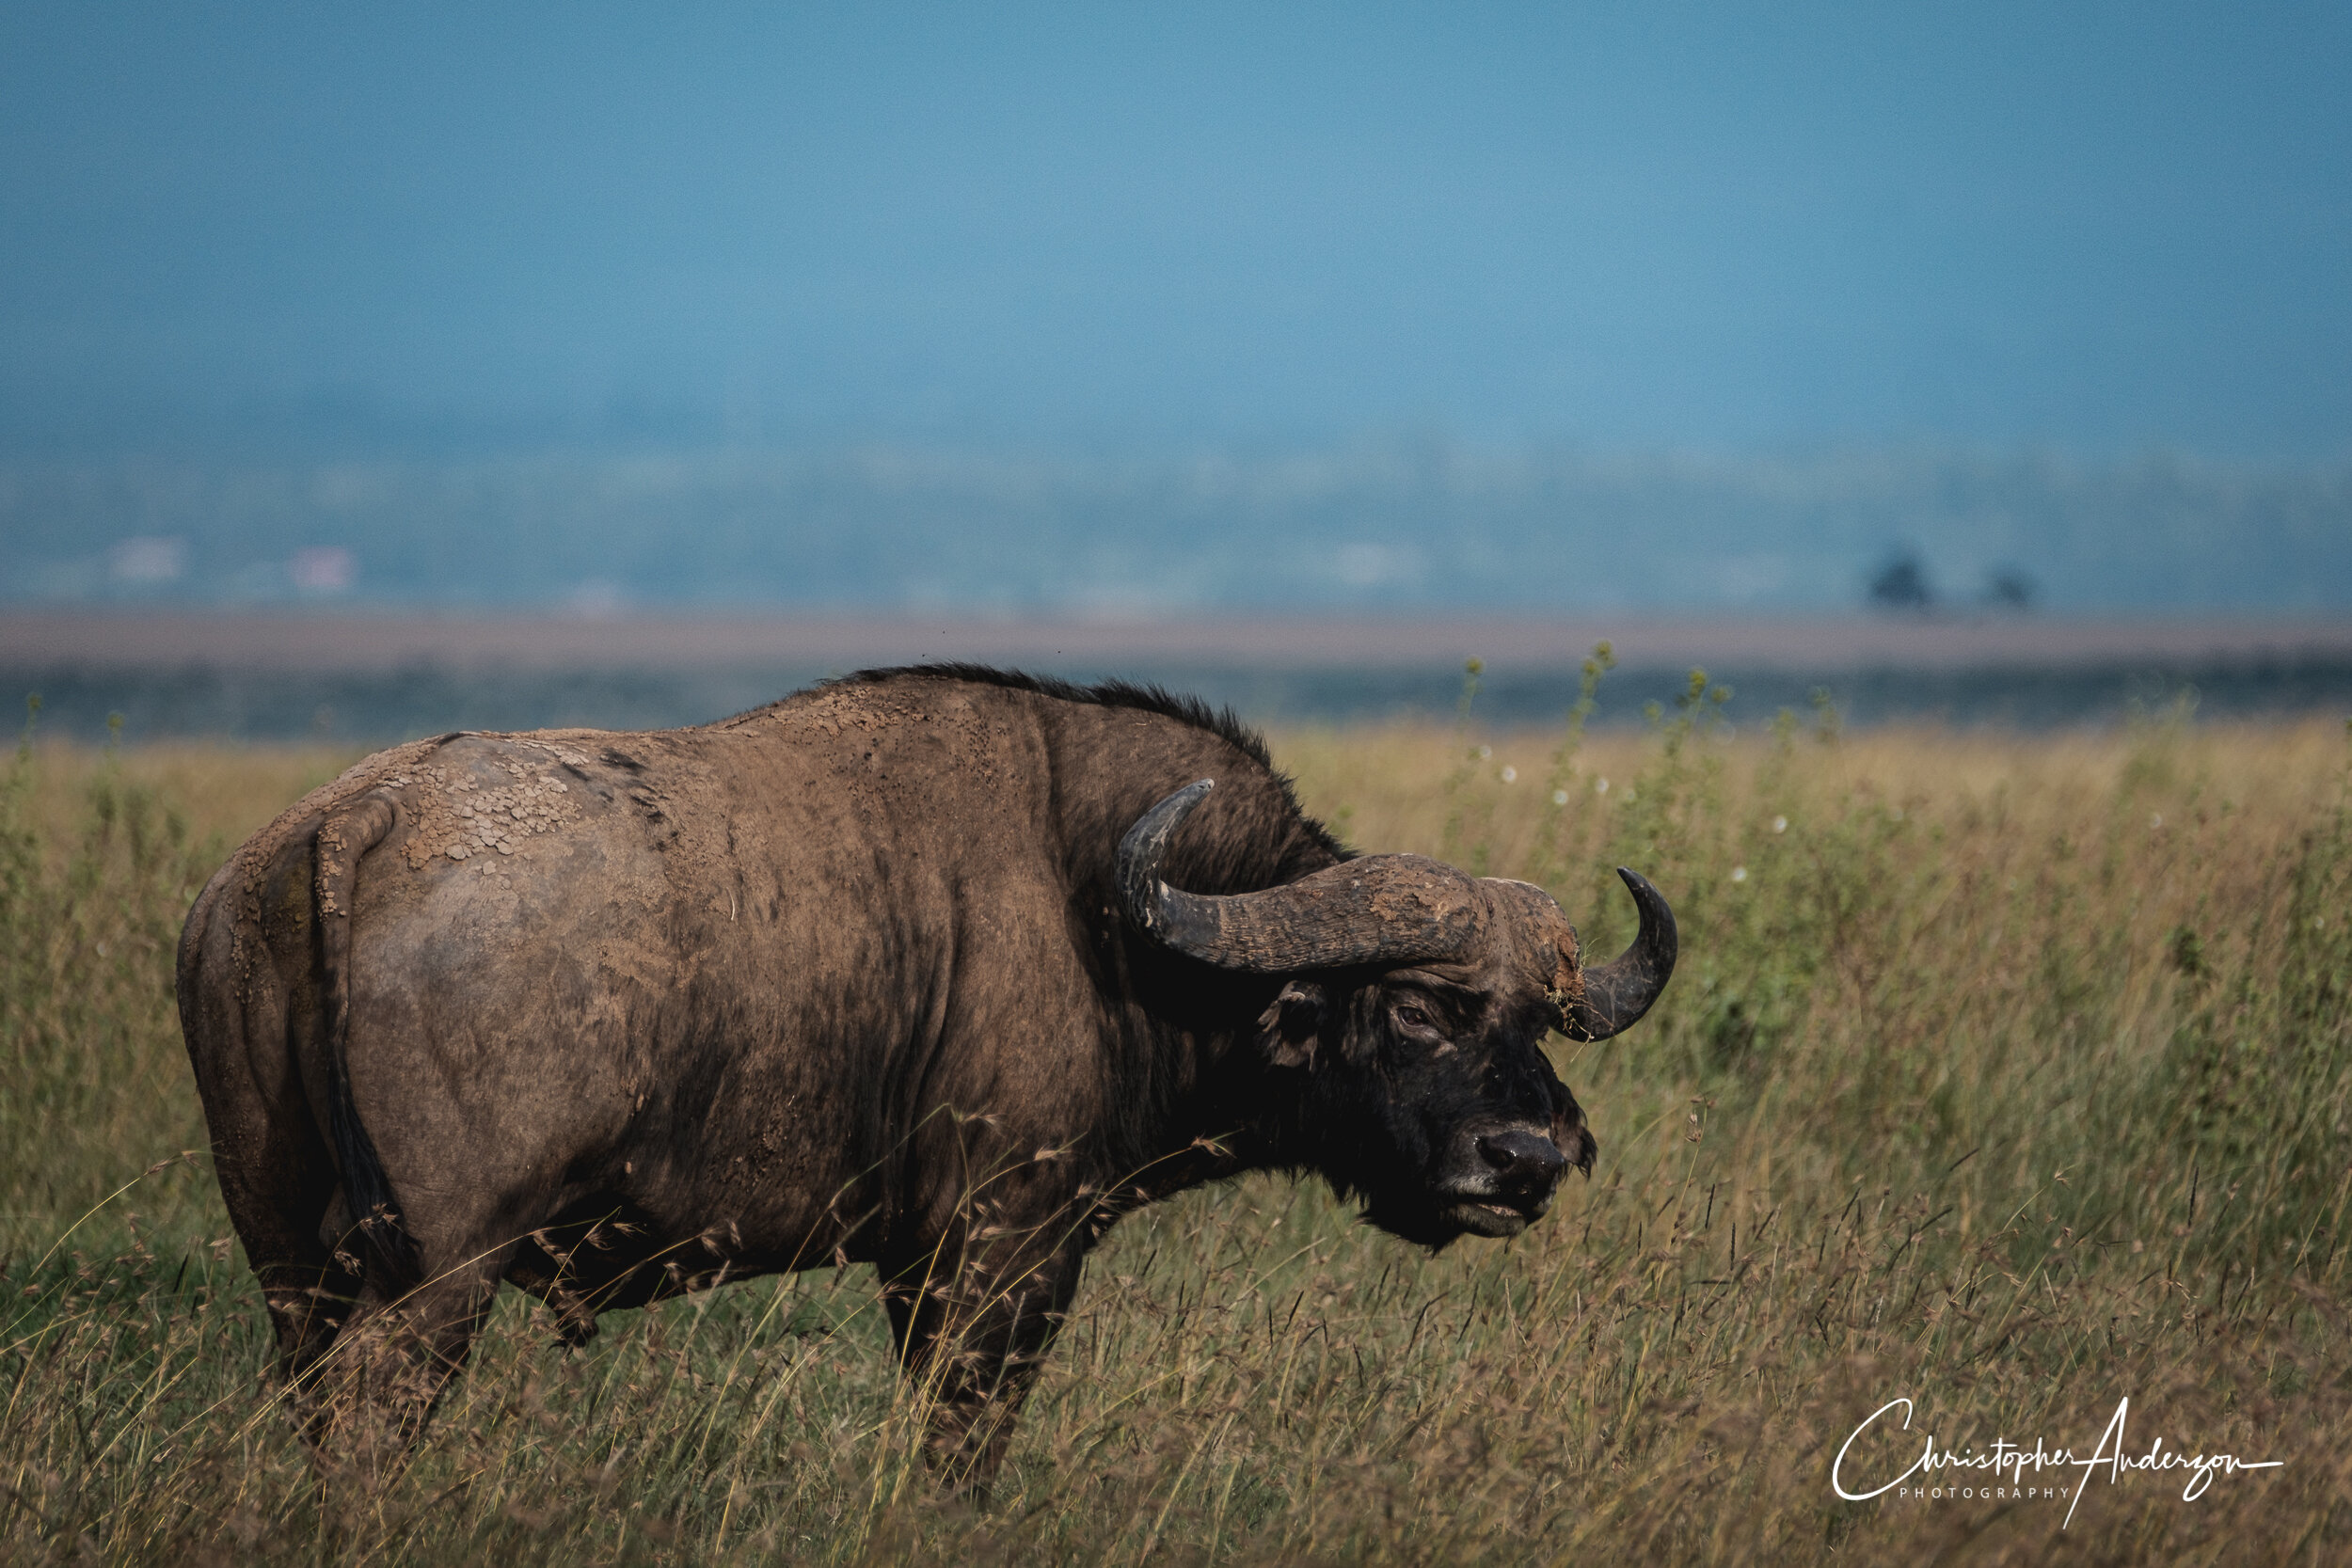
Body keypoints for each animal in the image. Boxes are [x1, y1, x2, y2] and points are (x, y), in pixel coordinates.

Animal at [178, 665, 1674, 1484]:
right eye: (1421, 1005)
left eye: (1538, 1021)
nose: (1531, 1160)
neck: (1112, 918)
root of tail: (352, 822)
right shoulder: (999, 1252)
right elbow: (966, 1443)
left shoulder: (918, 1261)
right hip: (433, 1281)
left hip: (294, 1272)